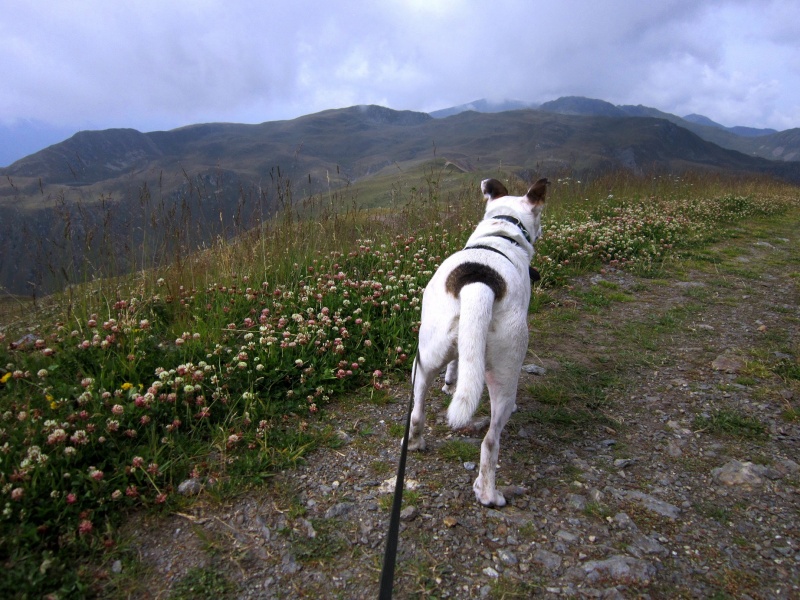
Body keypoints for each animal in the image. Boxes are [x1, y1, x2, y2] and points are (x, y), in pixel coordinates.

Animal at [410, 177, 548, 506]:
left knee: (417, 410)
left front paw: (450, 384)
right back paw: (490, 494)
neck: (501, 231)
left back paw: (416, 442)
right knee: (490, 441)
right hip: (507, 369)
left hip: (425, 355)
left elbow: (458, 363)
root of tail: (478, 284)